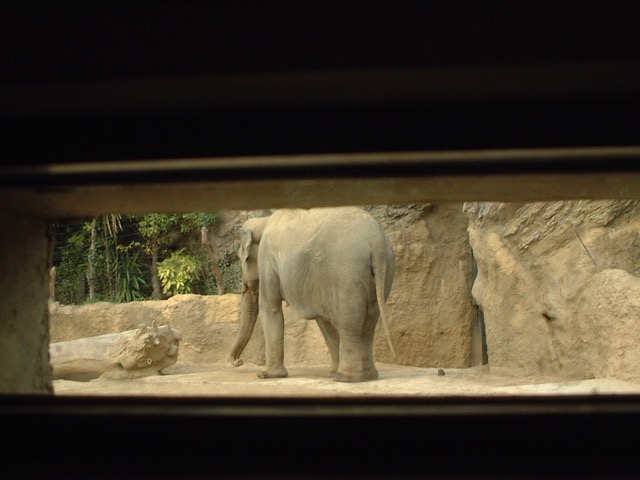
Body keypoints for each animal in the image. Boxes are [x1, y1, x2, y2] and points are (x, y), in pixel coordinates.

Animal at [228, 206, 392, 382]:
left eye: (242, 257)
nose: (239, 361)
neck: (263, 221)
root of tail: (376, 242)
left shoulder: (267, 259)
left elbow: (270, 308)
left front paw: (266, 375)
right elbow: (324, 321)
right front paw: (331, 372)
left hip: (346, 274)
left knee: (349, 323)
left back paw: (346, 378)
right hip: (381, 273)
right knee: (369, 323)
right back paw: (367, 375)